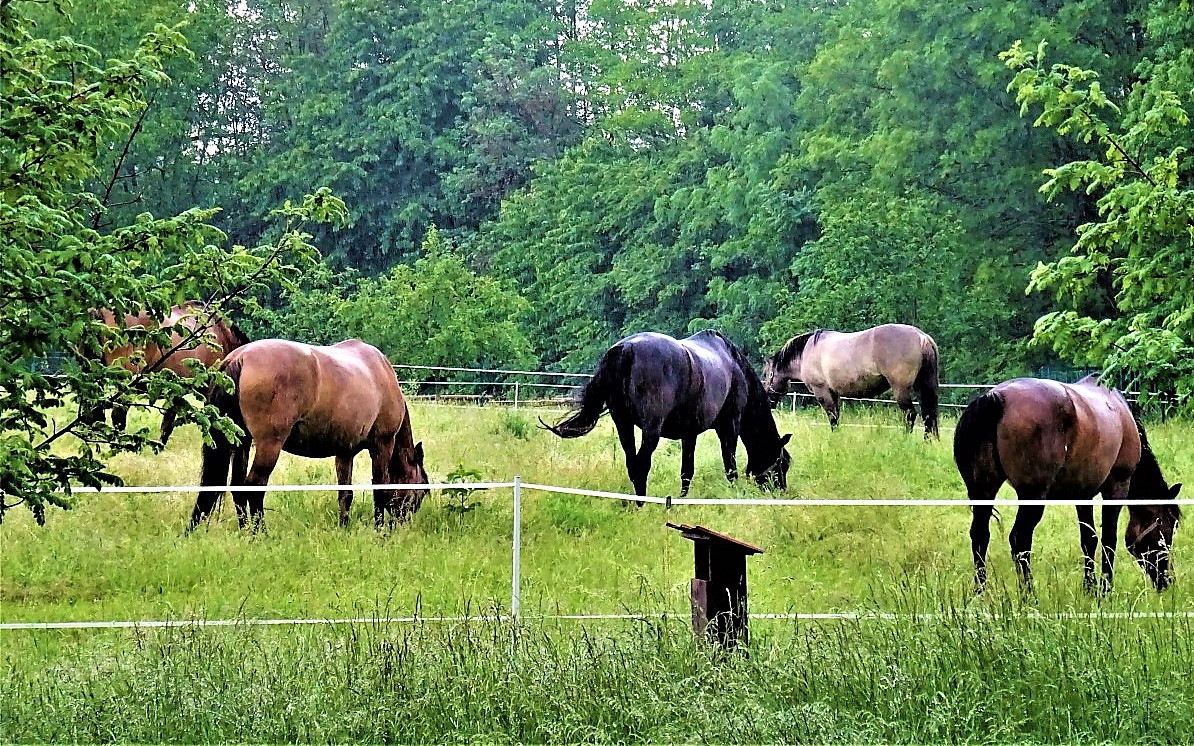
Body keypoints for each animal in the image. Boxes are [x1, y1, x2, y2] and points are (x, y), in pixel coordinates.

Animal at [186, 336, 429, 529]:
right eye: (422, 489)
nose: (403, 523)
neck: (380, 372)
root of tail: (241, 356)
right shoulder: (382, 445)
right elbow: (379, 489)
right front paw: (380, 531)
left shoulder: (344, 453)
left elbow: (346, 494)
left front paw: (344, 528)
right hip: (269, 445)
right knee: (254, 487)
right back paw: (260, 534)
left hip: (241, 442)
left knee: (238, 489)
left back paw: (245, 531)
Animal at [544, 329, 792, 503]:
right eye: (782, 464)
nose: (781, 492)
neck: (733, 366)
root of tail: (626, 349)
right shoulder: (729, 426)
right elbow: (730, 466)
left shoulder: (689, 433)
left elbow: (686, 470)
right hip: (650, 430)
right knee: (641, 465)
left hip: (623, 424)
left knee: (632, 464)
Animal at [764, 319, 940, 436]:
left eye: (766, 374)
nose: (768, 401)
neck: (806, 352)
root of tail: (922, 337)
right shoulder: (834, 393)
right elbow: (836, 417)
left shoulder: (822, 392)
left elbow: (832, 417)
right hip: (923, 386)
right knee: (929, 415)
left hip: (901, 388)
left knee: (910, 414)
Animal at [955, 377, 1179, 594]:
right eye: (1168, 530)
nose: (1166, 581)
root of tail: (995, 399)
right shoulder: (1117, 485)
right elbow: (1109, 539)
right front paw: (1106, 588)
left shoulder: (1083, 494)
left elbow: (1089, 539)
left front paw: (1089, 587)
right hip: (1032, 495)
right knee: (1019, 540)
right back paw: (1029, 596)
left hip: (983, 491)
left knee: (980, 536)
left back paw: (981, 593)